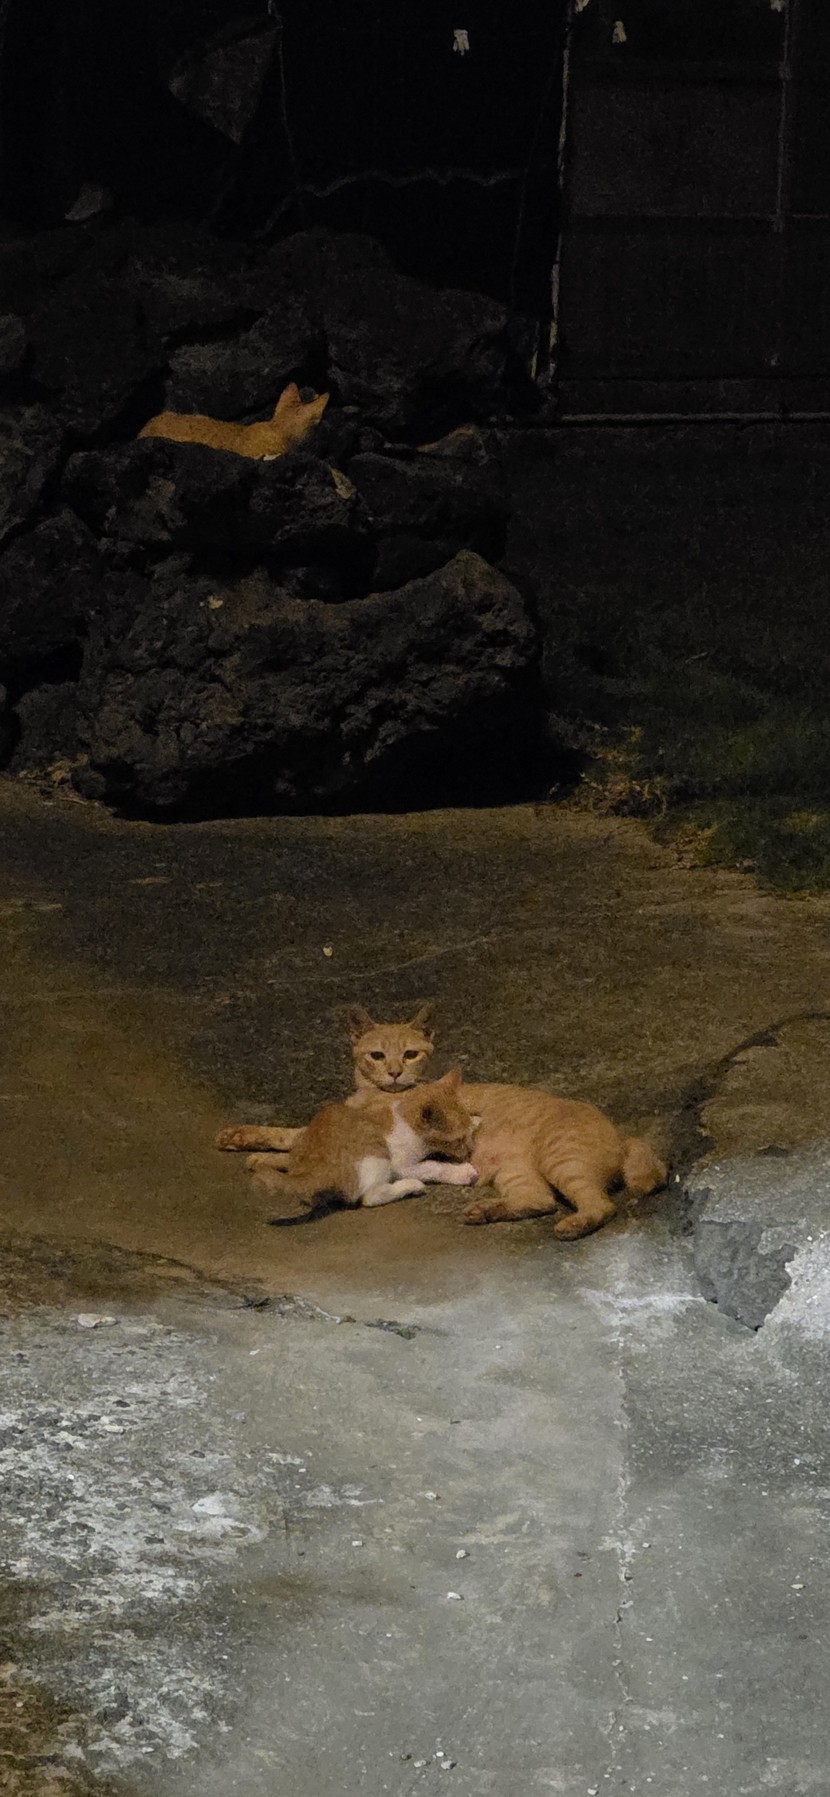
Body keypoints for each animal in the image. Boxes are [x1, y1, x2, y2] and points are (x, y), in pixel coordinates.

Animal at [265, 1068, 477, 1221]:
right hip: (376, 1152)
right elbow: (432, 1166)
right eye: (458, 1140)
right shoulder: (400, 1165)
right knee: (371, 1196)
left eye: (467, 1137)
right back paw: (411, 1186)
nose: (470, 1150)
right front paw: (462, 1172)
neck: (403, 1118)